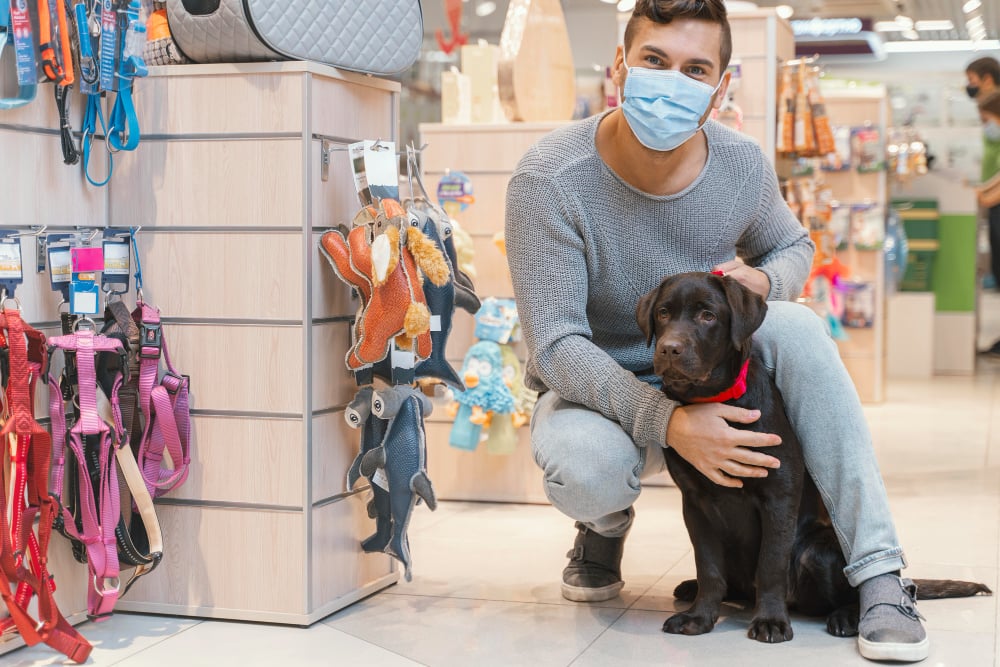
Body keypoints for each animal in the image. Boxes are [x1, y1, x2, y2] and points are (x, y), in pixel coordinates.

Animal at [636, 274, 988, 644]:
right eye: (663, 313)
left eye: (708, 316)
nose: (669, 348)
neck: (713, 400)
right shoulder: (695, 503)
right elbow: (708, 567)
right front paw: (700, 617)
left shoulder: (779, 496)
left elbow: (771, 563)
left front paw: (771, 621)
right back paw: (694, 589)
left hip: (817, 549)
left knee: (850, 590)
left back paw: (848, 617)